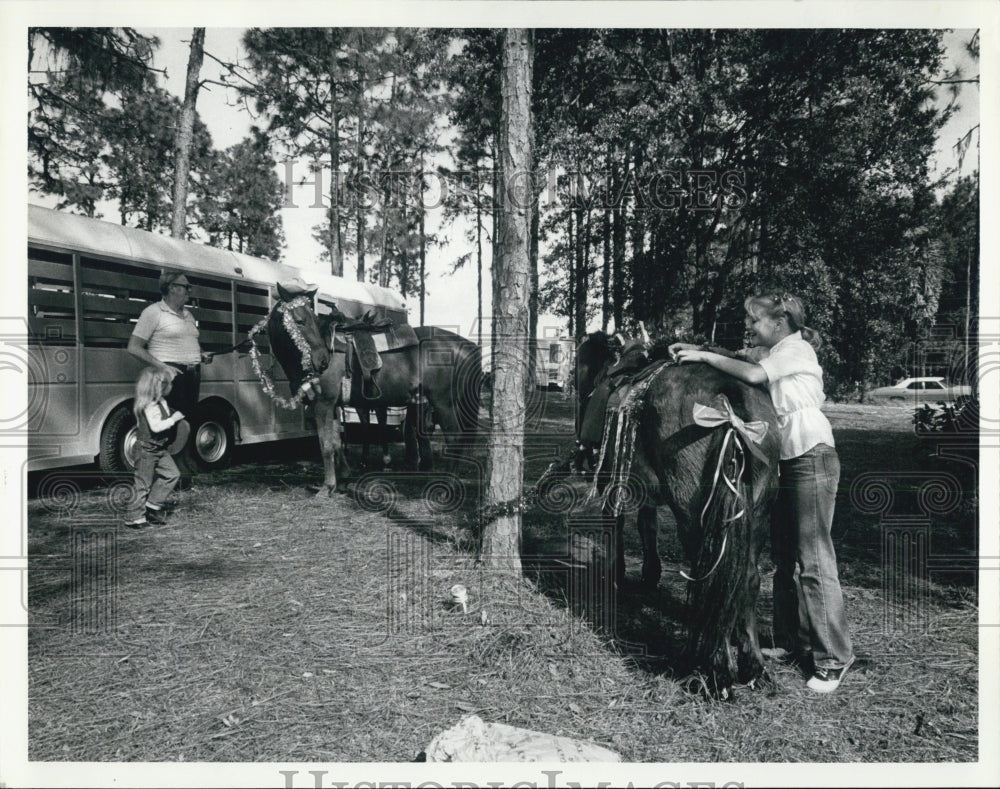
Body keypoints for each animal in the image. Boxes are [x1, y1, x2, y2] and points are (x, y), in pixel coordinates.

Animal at [266, 280, 484, 496]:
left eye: (308, 319)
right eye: (300, 321)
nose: (322, 361)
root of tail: (466, 345)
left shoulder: (322, 404)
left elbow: (325, 445)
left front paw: (327, 486)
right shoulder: (334, 406)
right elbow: (336, 442)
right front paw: (343, 479)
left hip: (443, 402)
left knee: (454, 438)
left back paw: (449, 486)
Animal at [580, 330, 780, 696]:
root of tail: (729, 409)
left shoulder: (612, 483)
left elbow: (618, 525)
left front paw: (617, 574)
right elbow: (647, 525)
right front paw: (649, 574)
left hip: (694, 515)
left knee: (709, 576)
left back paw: (713, 669)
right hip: (758, 514)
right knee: (747, 577)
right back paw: (752, 665)